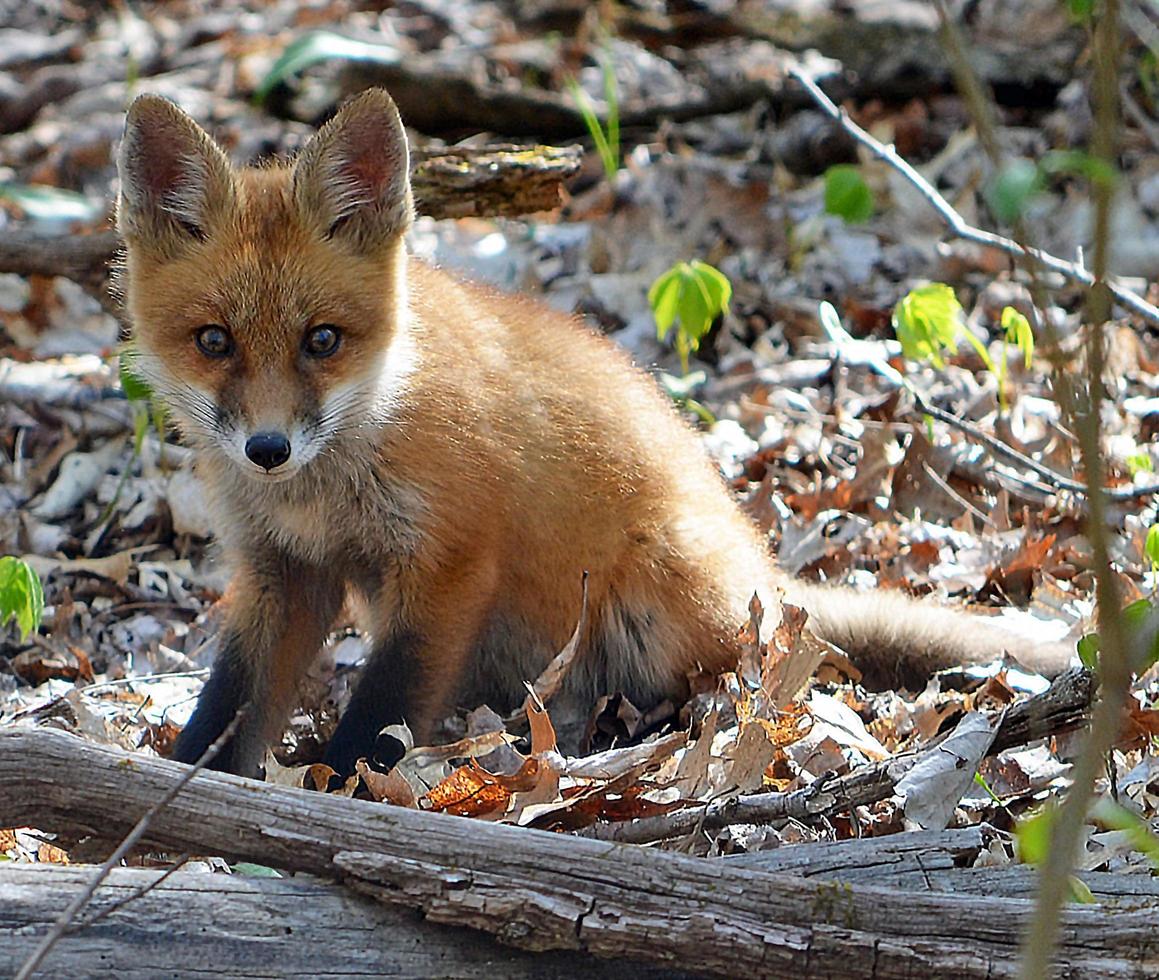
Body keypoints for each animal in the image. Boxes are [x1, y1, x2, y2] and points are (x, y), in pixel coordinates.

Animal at [117, 88, 1075, 778]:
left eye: (321, 340)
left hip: (655, 591)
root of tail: (764, 566)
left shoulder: (447, 565)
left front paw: (341, 793)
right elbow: (226, 708)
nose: (266, 451)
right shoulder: (283, 573)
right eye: (214, 342)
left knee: (721, 674)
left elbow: (379, 718)